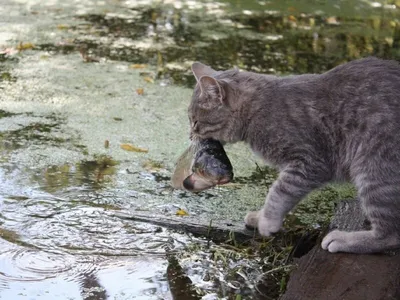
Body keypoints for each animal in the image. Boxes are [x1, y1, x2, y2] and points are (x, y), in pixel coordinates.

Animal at [188, 56, 400, 253]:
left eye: (195, 122)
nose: (190, 135)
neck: (258, 109)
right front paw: (260, 216)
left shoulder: (310, 162)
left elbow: (279, 192)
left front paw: (267, 221)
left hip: (374, 170)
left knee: (390, 235)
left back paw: (345, 240)